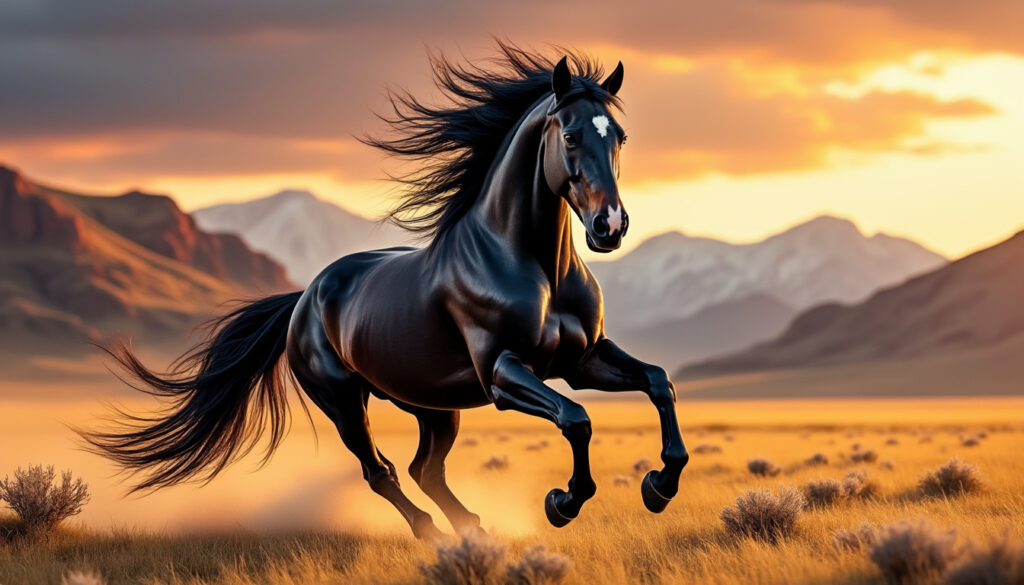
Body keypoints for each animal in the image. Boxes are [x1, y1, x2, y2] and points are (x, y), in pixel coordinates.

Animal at [83, 44, 689, 540]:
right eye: (569, 136)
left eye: (619, 137)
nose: (610, 226)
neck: (533, 266)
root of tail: (304, 298)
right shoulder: (503, 373)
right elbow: (576, 419)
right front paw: (562, 503)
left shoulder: (582, 360)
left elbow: (658, 383)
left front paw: (659, 487)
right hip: (344, 401)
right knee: (382, 471)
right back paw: (434, 534)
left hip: (432, 404)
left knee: (425, 469)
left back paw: (471, 527)